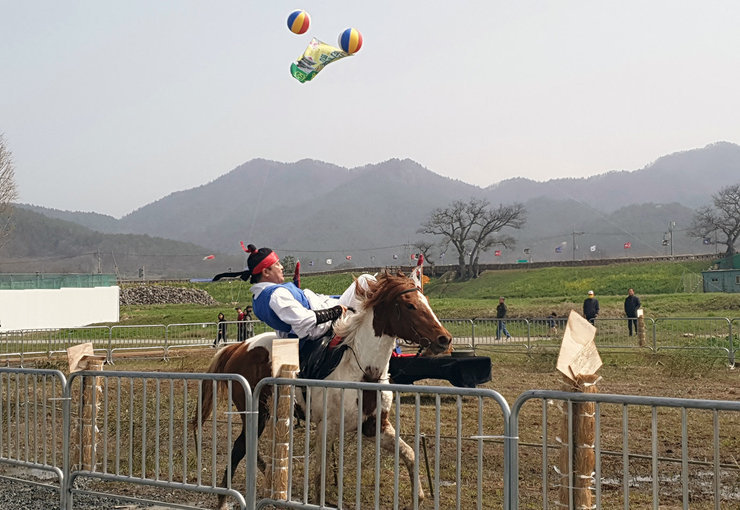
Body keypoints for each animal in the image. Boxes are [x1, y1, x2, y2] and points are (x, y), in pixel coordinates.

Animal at [194, 272, 450, 510]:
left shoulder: (375, 427)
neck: (363, 371)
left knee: (250, 449)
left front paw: (418, 496)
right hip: (256, 411)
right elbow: (320, 476)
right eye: (410, 305)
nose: (444, 339)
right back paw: (224, 499)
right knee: (239, 448)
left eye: (426, 300)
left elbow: (409, 453)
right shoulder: (326, 428)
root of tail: (238, 347)